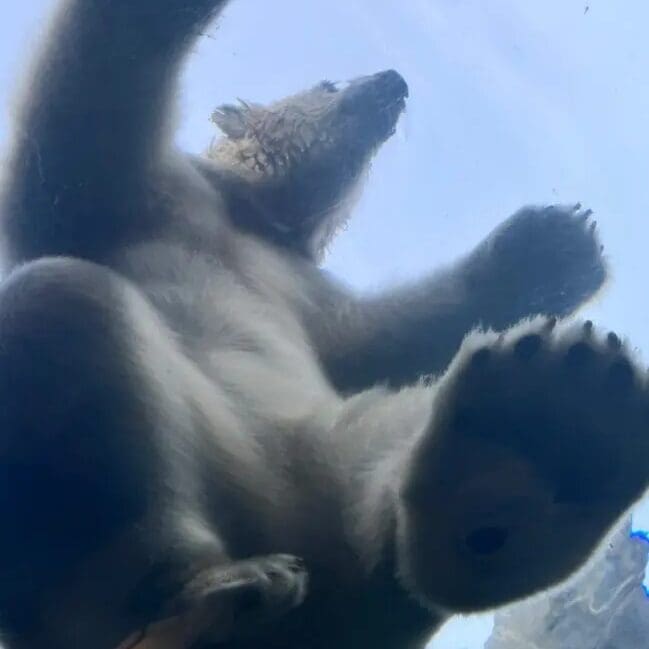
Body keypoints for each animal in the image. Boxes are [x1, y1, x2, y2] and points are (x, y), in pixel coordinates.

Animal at [1, 0, 647, 648]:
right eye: (329, 84)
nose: (392, 81)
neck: (250, 211)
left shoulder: (304, 285)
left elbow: (373, 340)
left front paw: (556, 248)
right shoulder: (158, 197)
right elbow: (80, 130)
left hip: (334, 453)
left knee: (397, 460)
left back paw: (538, 439)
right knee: (65, 322)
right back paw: (211, 596)